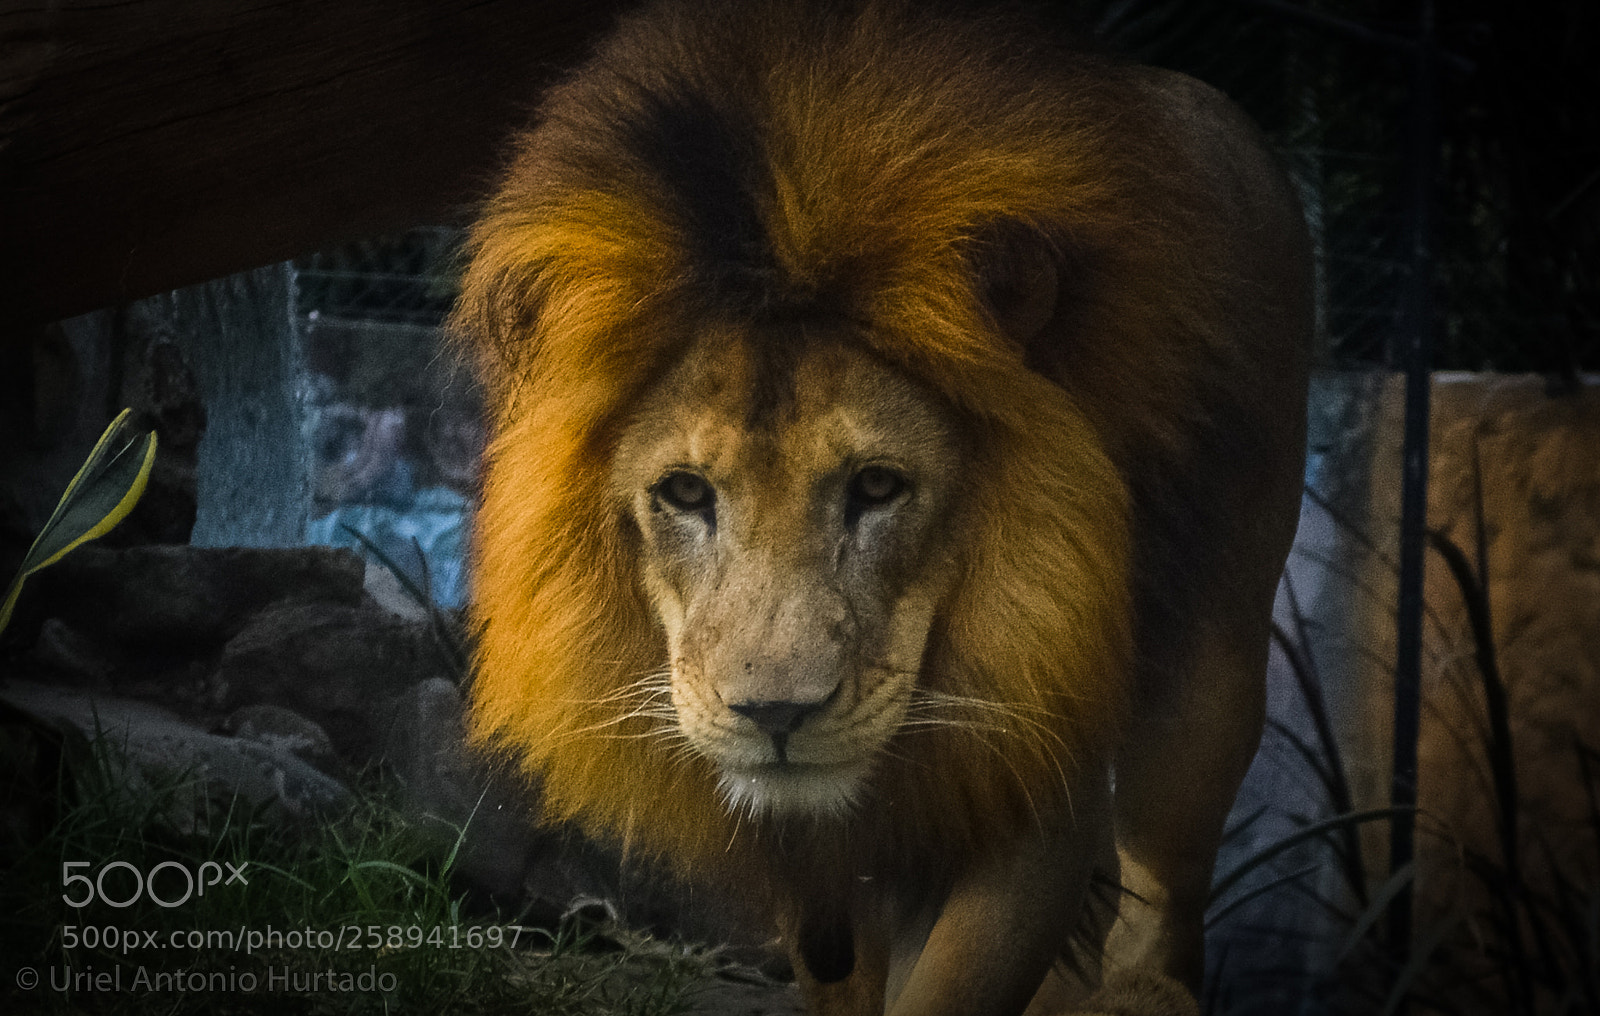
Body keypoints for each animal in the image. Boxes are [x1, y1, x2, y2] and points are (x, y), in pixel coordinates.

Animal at [453, 1, 1311, 1013]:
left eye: (875, 487)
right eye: (686, 493)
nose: (775, 715)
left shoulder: (1032, 754)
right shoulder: (818, 861)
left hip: (1211, 668)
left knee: (1163, 901)